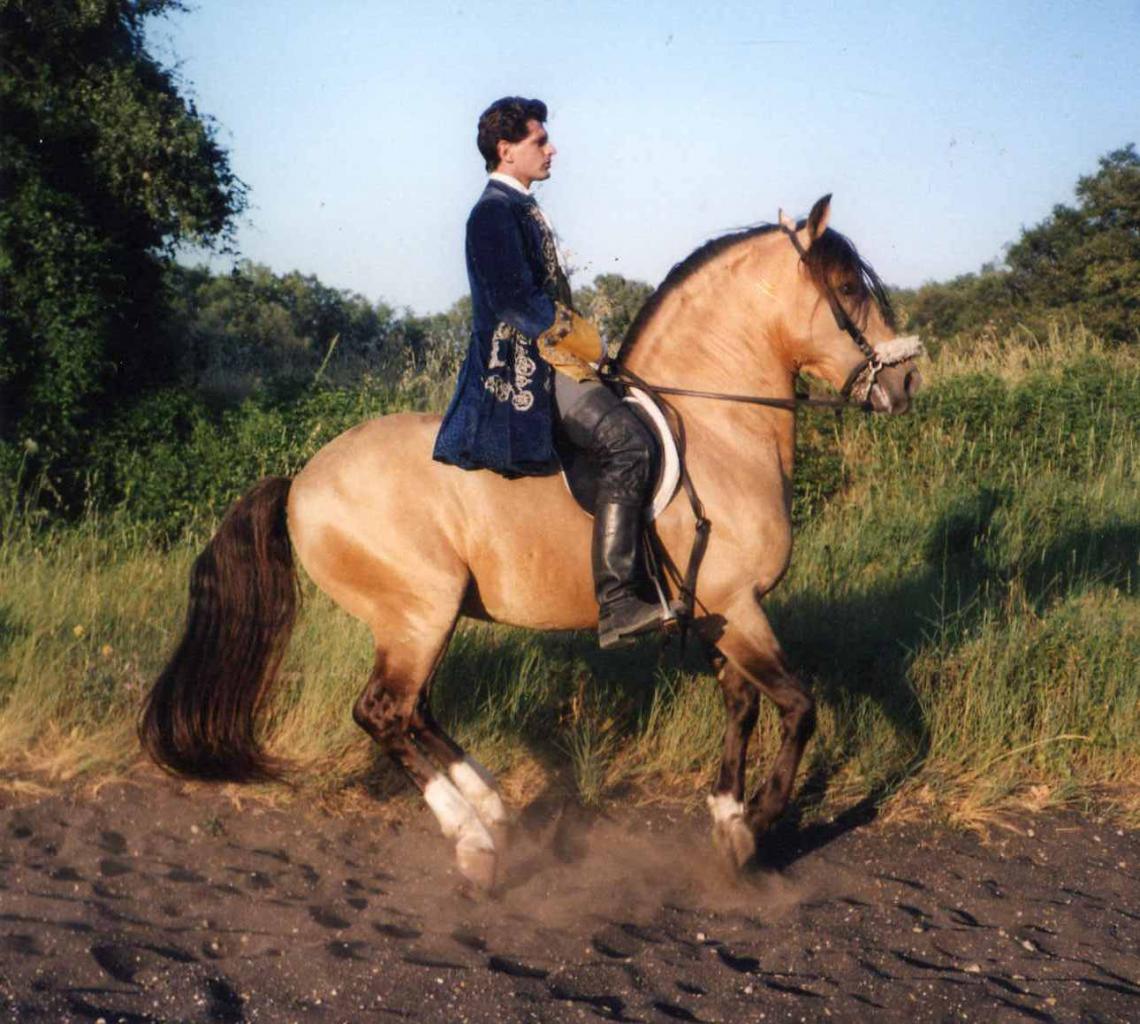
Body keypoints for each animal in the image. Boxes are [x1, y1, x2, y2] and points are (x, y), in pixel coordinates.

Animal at [144, 197, 925, 884]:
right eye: (848, 287)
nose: (908, 382)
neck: (718, 430)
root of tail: (301, 481)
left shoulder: (723, 612)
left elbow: (744, 705)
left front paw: (729, 818)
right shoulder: (736, 604)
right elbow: (797, 706)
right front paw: (758, 822)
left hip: (421, 617)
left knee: (415, 709)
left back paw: (490, 805)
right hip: (419, 609)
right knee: (385, 712)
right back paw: (472, 841)